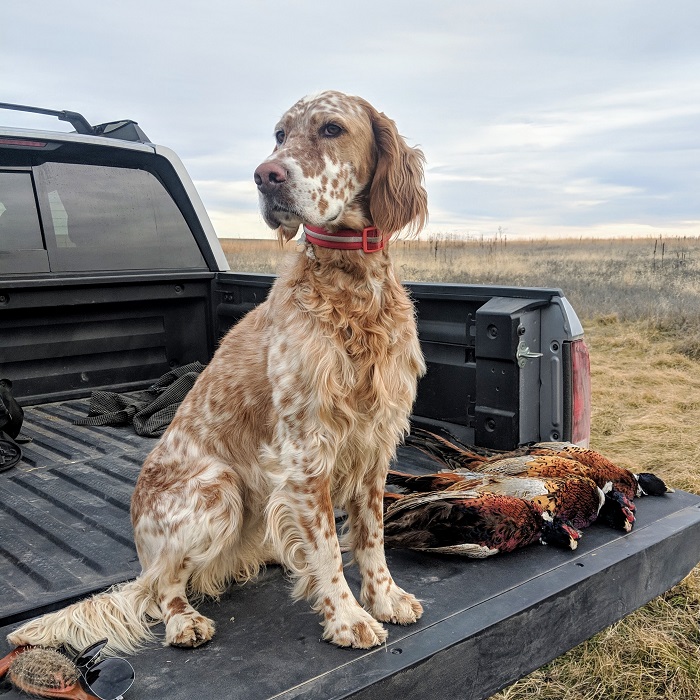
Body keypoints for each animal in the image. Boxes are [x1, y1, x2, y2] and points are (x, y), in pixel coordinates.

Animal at [8, 90, 430, 652]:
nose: (266, 175)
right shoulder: (306, 452)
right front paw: (347, 617)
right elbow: (326, 549)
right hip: (218, 487)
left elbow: (370, 538)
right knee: (161, 585)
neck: (351, 289)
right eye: (279, 135)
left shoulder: (373, 445)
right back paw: (183, 619)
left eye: (331, 128)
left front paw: (385, 597)